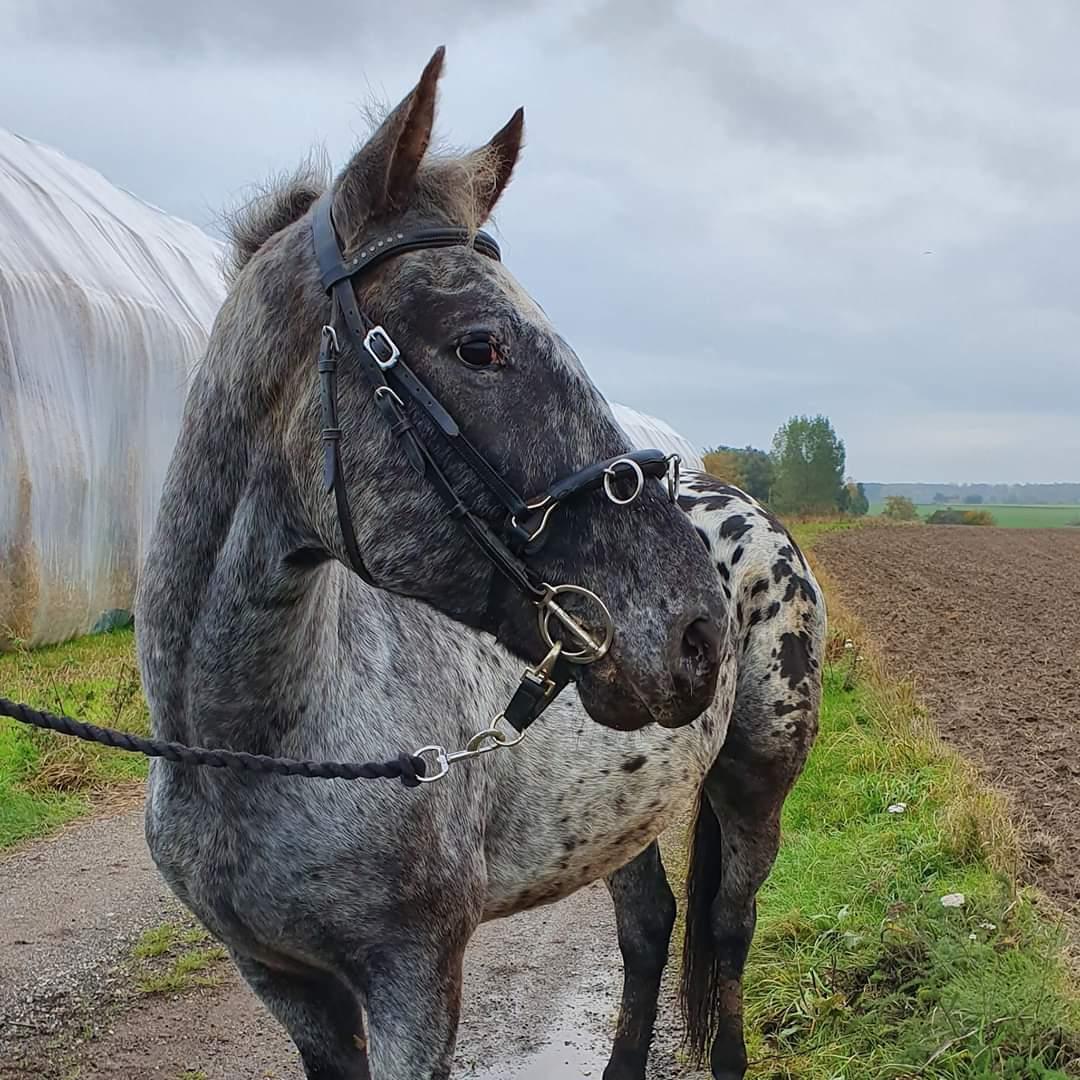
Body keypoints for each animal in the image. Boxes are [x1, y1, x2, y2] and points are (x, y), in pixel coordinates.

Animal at [137, 46, 825, 1075]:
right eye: (479, 345)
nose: (697, 633)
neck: (251, 749)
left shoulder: (416, 981)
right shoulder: (288, 989)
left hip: (755, 790)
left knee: (729, 931)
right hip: (623, 815)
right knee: (650, 927)